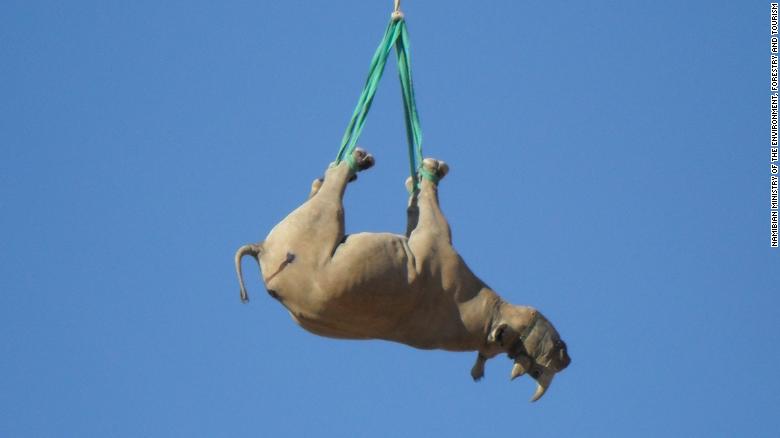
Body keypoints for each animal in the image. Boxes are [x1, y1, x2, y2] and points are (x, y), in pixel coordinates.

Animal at [235, 148, 570, 401]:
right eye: (544, 350)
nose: (564, 360)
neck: (487, 316)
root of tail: (261, 250)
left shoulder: (433, 243)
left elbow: (421, 212)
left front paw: (424, 175)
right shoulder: (436, 242)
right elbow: (420, 212)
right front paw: (423, 177)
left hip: (315, 222)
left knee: (329, 194)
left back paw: (347, 167)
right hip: (309, 228)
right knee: (328, 192)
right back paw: (344, 168)